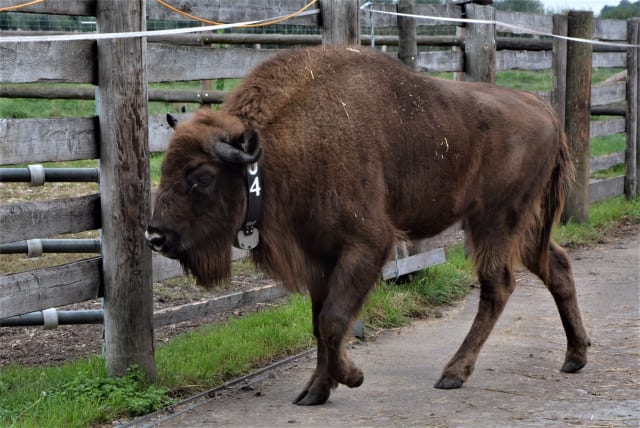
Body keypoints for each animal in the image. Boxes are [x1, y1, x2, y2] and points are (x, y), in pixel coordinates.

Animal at [146, 45, 592, 406]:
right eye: (166, 168)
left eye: (201, 176)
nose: (156, 237)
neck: (284, 147)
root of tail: (544, 110)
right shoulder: (319, 257)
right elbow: (319, 323)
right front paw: (315, 391)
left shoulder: (366, 245)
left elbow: (333, 321)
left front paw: (352, 377)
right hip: (524, 226)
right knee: (557, 266)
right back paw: (575, 356)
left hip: (494, 222)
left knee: (497, 286)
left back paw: (453, 373)